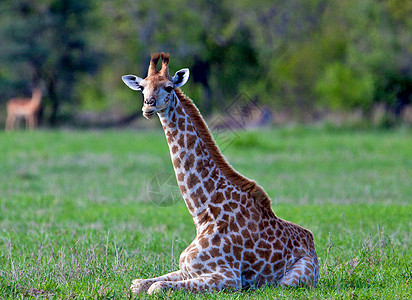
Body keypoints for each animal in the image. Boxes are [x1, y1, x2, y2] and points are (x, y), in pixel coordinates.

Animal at [122, 52, 318, 294]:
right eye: (142, 87)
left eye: (168, 87)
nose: (148, 106)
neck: (203, 215)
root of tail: (313, 245)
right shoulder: (188, 269)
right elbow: (139, 283)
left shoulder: (228, 276)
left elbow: (156, 287)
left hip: (292, 280)